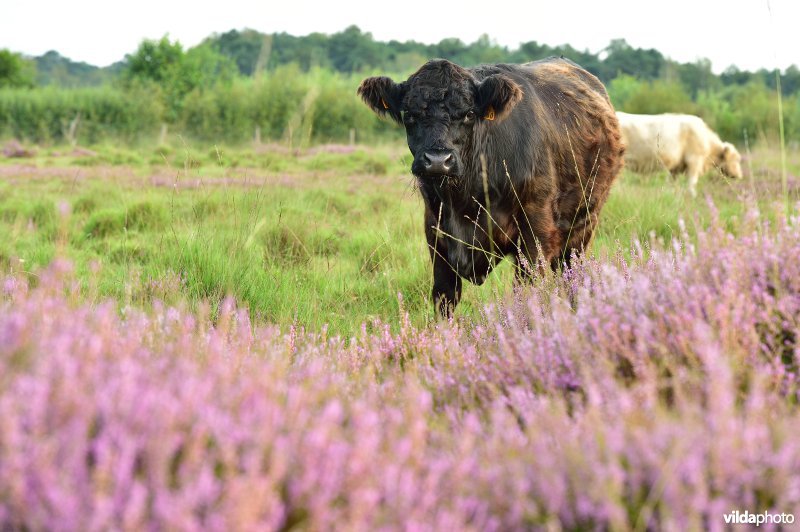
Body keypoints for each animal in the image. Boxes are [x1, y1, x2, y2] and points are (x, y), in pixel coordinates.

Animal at [356, 58, 624, 316]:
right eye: (410, 115)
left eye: (468, 114)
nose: (438, 160)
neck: (465, 198)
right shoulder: (436, 232)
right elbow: (445, 297)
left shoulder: (535, 233)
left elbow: (526, 293)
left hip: (582, 229)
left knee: (571, 278)